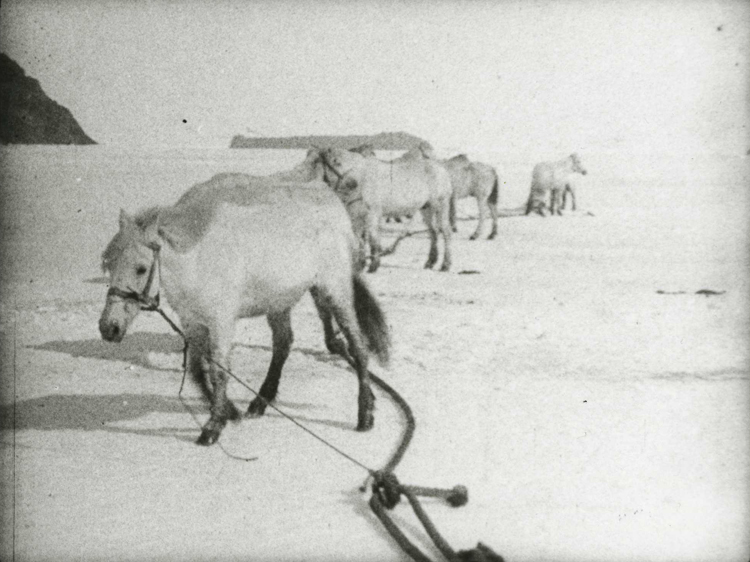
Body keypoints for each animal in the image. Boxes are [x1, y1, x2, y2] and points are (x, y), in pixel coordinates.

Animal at [99, 173, 391, 446]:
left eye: (141, 268)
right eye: (108, 264)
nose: (108, 327)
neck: (198, 259)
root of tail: (331, 200)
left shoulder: (221, 322)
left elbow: (219, 370)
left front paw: (213, 426)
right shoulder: (192, 322)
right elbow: (196, 369)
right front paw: (229, 412)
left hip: (334, 292)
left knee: (357, 345)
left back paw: (365, 413)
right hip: (280, 302)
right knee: (283, 344)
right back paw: (260, 401)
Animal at [318, 143, 453, 273]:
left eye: (337, 162)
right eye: (333, 163)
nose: (352, 183)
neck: (361, 176)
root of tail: (442, 170)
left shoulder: (372, 213)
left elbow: (372, 237)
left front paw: (373, 265)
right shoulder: (356, 216)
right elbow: (359, 238)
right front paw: (361, 264)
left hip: (441, 205)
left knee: (445, 231)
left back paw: (445, 265)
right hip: (427, 208)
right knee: (433, 231)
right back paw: (430, 262)